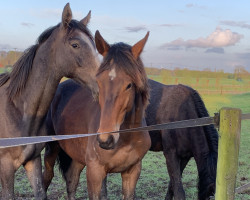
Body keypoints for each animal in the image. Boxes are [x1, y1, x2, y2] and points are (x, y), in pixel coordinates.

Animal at [42, 31, 150, 200]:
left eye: (129, 85)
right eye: (99, 82)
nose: (105, 140)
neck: (127, 138)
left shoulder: (132, 172)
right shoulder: (95, 172)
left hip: (77, 158)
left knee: (71, 182)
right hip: (52, 150)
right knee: (46, 178)